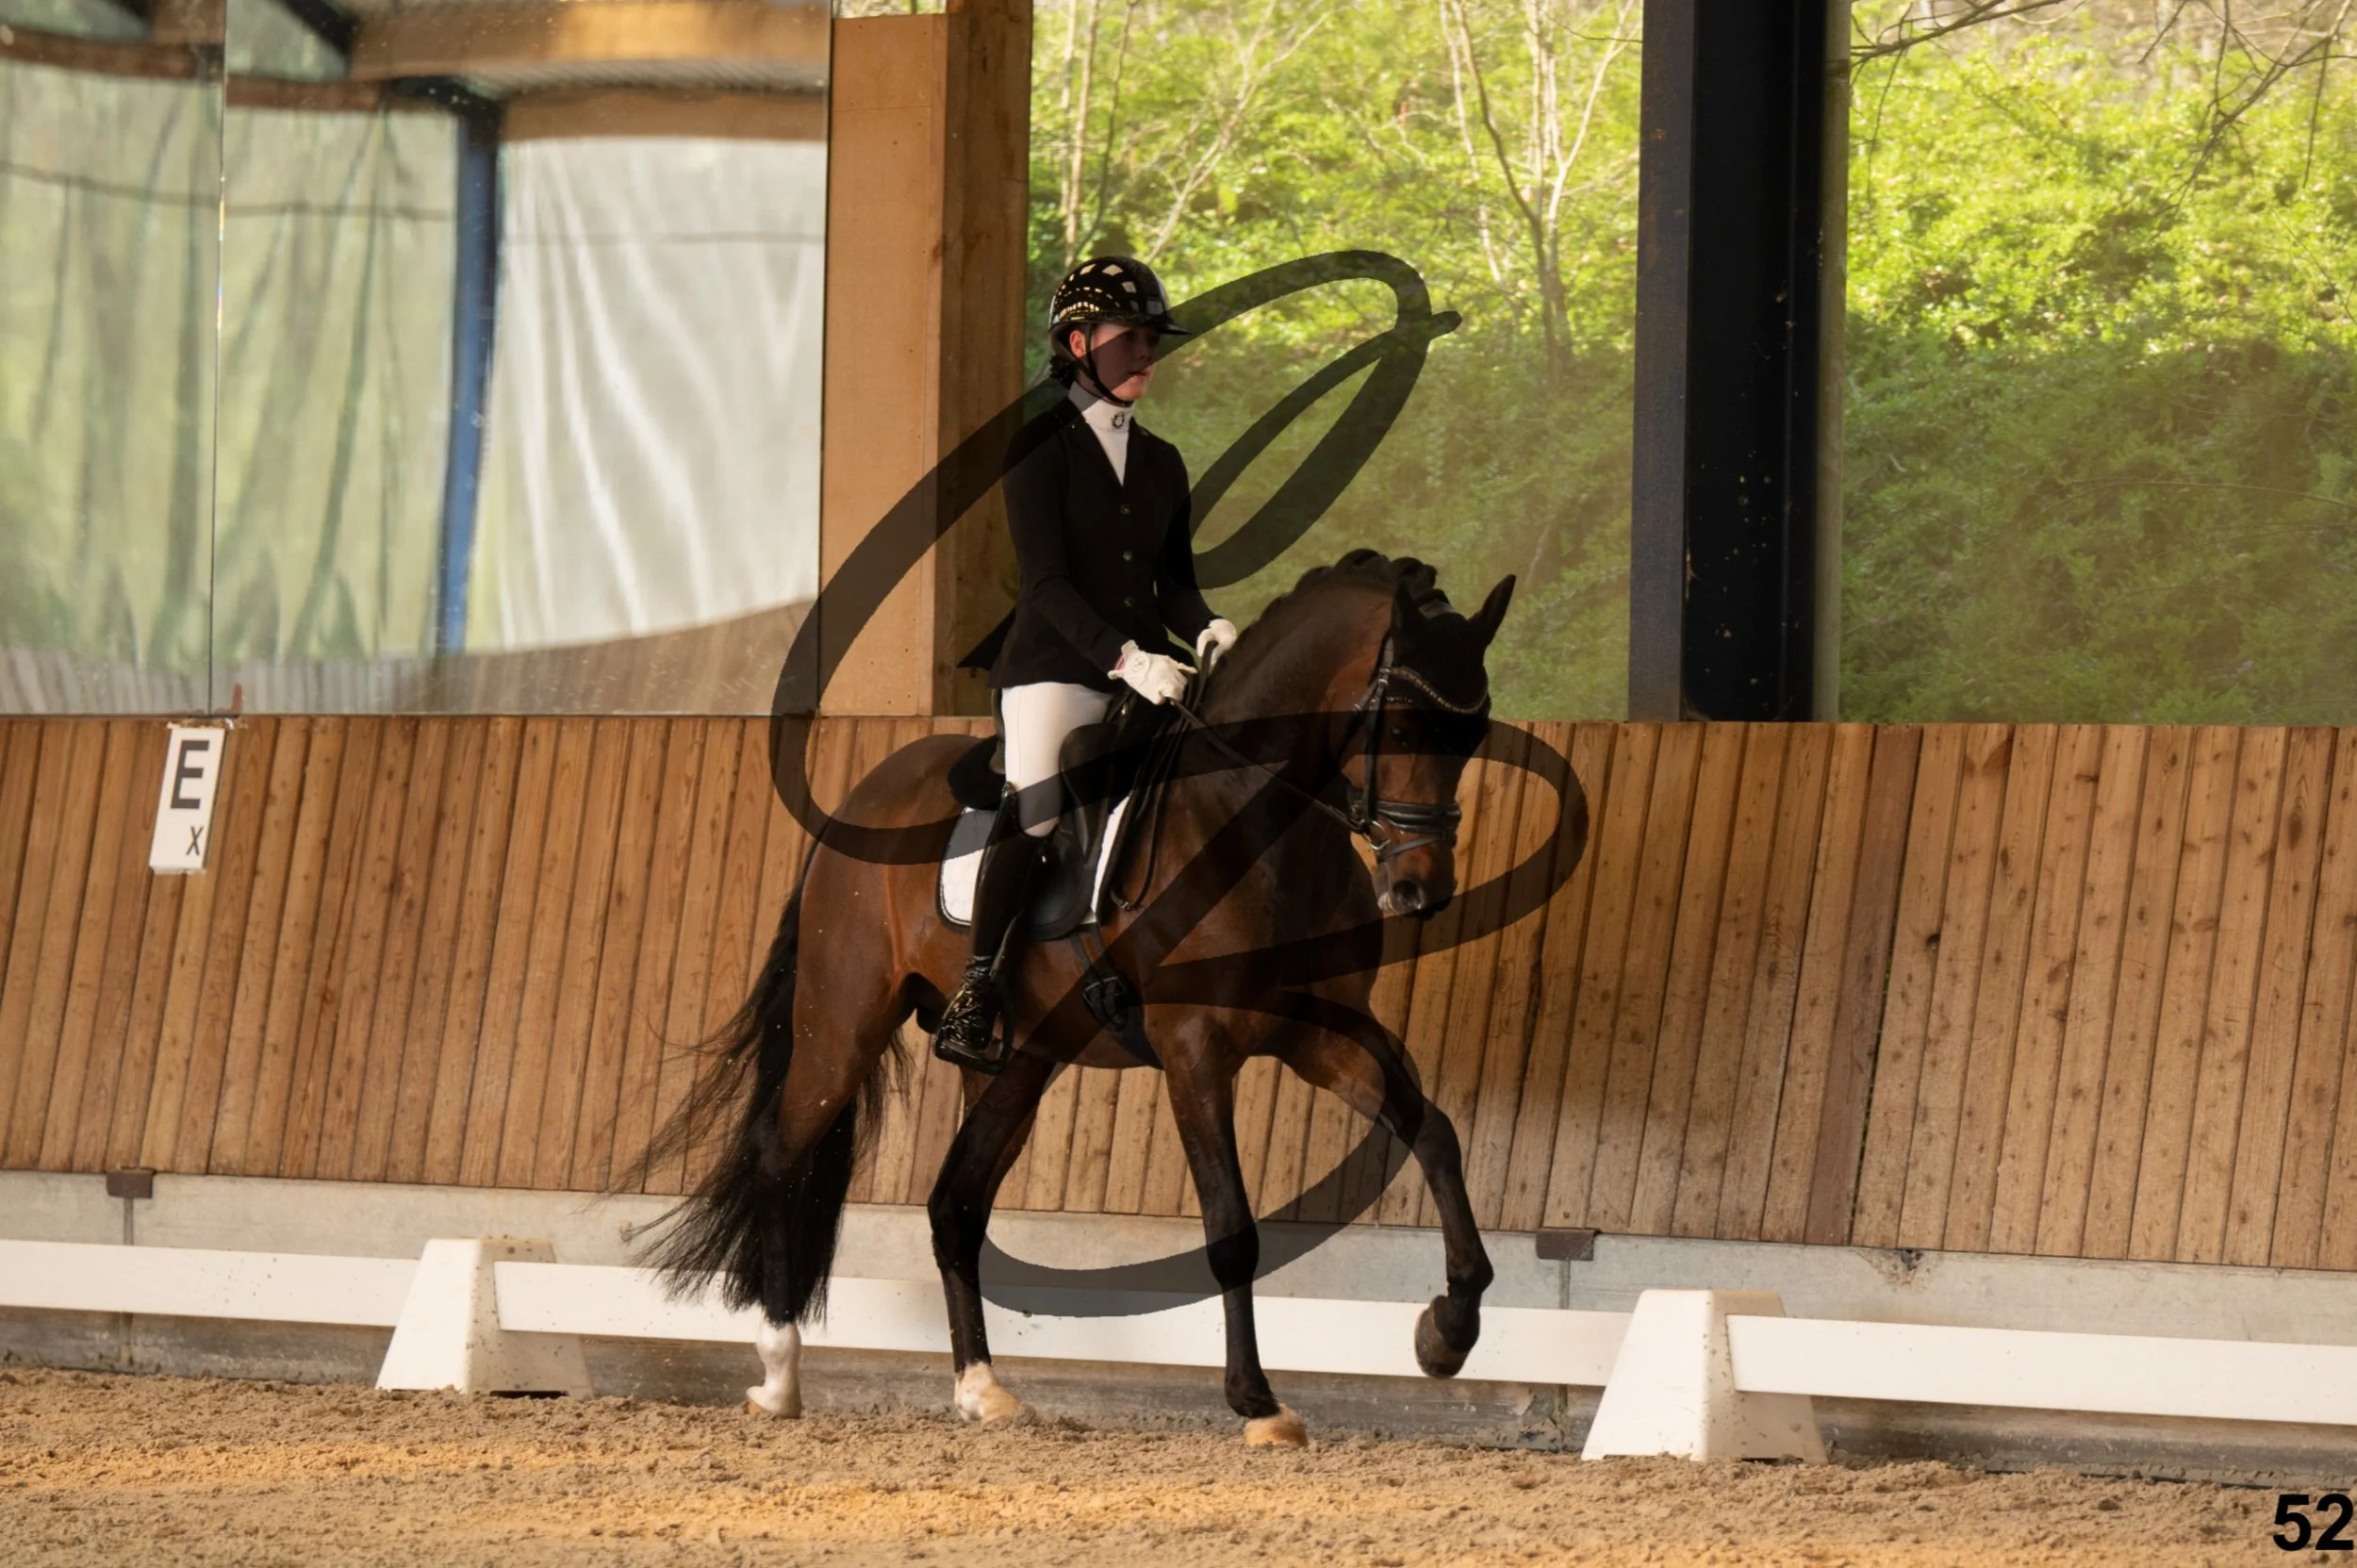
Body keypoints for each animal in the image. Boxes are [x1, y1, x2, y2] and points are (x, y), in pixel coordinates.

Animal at [626, 549, 1579, 1445]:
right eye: (1408, 723)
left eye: (1476, 729)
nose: (1421, 891)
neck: (1250, 816)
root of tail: (856, 805)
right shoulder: (1195, 1047)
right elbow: (1231, 1226)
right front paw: (1258, 1401)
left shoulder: (1325, 1031)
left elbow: (1435, 1131)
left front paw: (1448, 1331)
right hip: (844, 1019)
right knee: (783, 1157)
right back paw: (779, 1376)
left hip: (1017, 1062)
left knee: (955, 1204)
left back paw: (982, 1389)